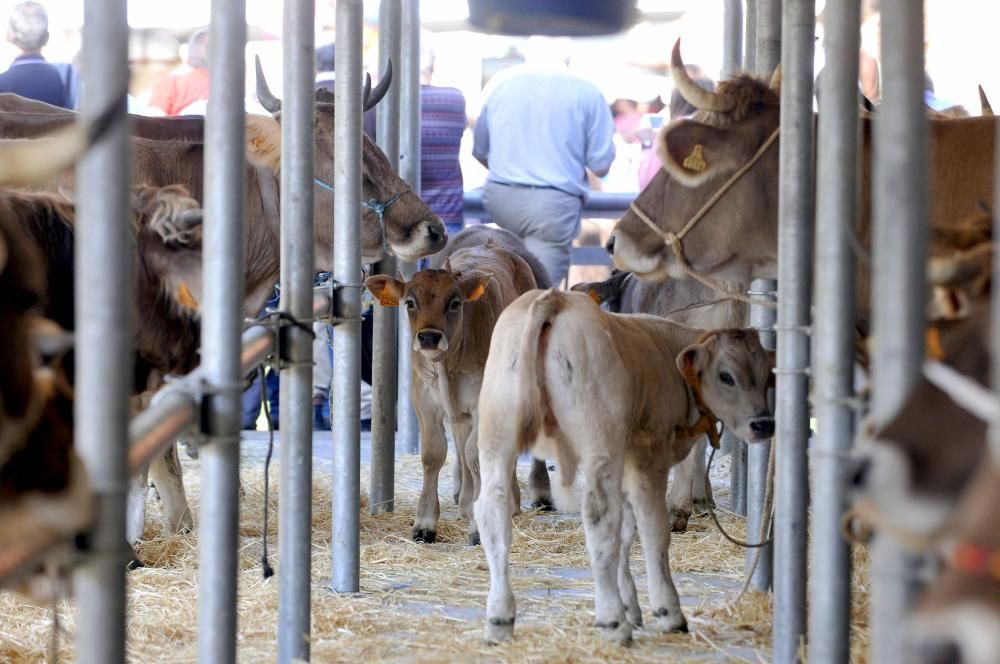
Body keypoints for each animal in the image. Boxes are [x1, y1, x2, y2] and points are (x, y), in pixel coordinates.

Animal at [366, 228, 540, 544]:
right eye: (410, 302)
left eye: (455, 303)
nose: (429, 337)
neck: (449, 365)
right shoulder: (424, 400)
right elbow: (434, 455)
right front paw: (425, 523)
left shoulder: (484, 401)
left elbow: (476, 456)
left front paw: (480, 526)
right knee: (460, 444)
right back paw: (467, 503)